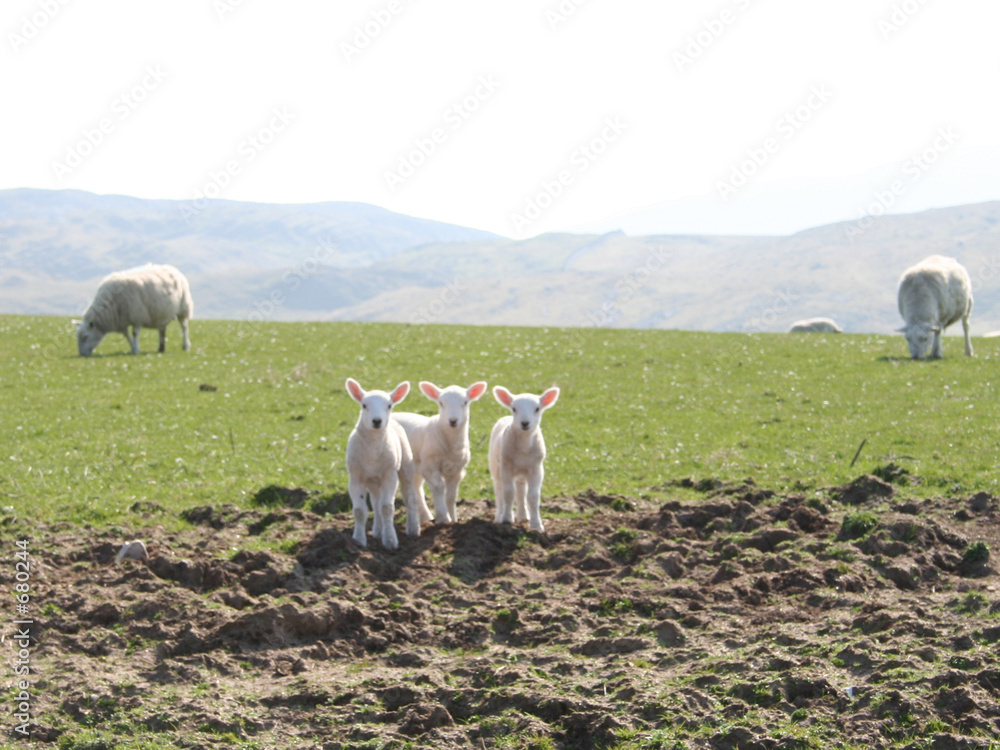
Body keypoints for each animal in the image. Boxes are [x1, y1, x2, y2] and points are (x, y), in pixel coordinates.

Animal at [344, 378, 422, 550]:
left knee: (409, 496)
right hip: (373, 480)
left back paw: (413, 528)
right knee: (376, 502)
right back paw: (378, 531)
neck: (372, 451)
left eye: (389, 405)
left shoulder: (389, 474)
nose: (377, 421)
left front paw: (390, 541)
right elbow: (360, 510)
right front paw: (358, 541)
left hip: (406, 465)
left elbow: (387, 508)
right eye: (364, 405)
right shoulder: (355, 477)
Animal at [394, 381, 488, 524]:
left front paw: (453, 520)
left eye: (465, 402)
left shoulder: (456, 471)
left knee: (417, 487)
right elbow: (439, 488)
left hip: (416, 465)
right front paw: (443, 518)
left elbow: (451, 496)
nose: (453, 421)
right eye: (441, 403)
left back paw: (426, 517)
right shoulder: (430, 466)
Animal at [489, 385, 560, 532]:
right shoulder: (506, 466)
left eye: (537, 409)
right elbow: (508, 493)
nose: (525, 423)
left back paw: (523, 516)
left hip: (522, 472)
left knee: (521, 490)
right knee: (499, 490)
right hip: (495, 466)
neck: (523, 448)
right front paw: (506, 519)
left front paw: (536, 525)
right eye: (514, 408)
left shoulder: (536, 468)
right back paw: (499, 516)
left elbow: (533, 496)